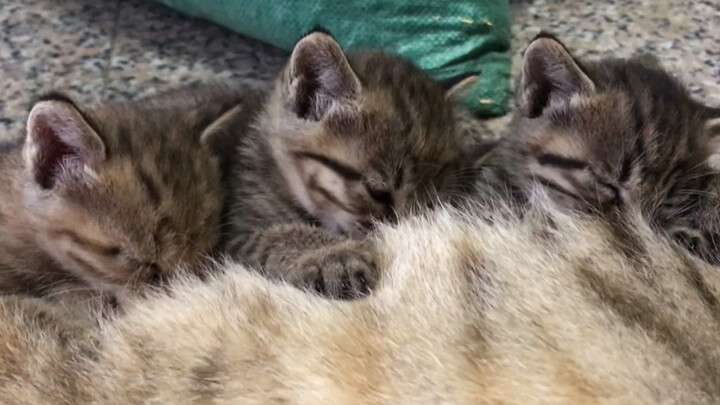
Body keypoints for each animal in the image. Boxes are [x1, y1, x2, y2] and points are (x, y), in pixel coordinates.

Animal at [225, 33, 472, 298]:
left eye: (429, 208)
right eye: (378, 193)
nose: (400, 237)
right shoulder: (237, 233)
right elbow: (279, 235)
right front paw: (335, 255)